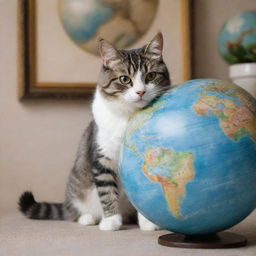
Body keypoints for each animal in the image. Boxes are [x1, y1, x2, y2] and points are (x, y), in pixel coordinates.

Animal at [19, 31, 172, 230]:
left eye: (151, 76)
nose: (140, 92)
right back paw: (88, 218)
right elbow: (107, 192)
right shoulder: (101, 157)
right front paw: (111, 221)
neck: (128, 116)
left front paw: (148, 222)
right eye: (124, 79)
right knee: (73, 212)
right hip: (77, 189)